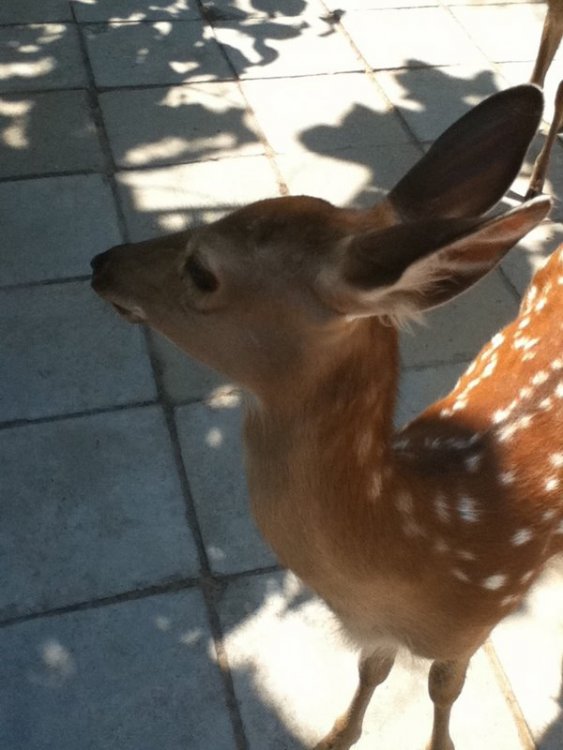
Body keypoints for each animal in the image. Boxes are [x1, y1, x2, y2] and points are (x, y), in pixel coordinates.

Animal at [91, 84, 562, 750]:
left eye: (203, 271)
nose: (102, 262)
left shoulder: (478, 620)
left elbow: (444, 688)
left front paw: (439, 743)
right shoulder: (376, 630)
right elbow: (373, 668)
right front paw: (337, 735)